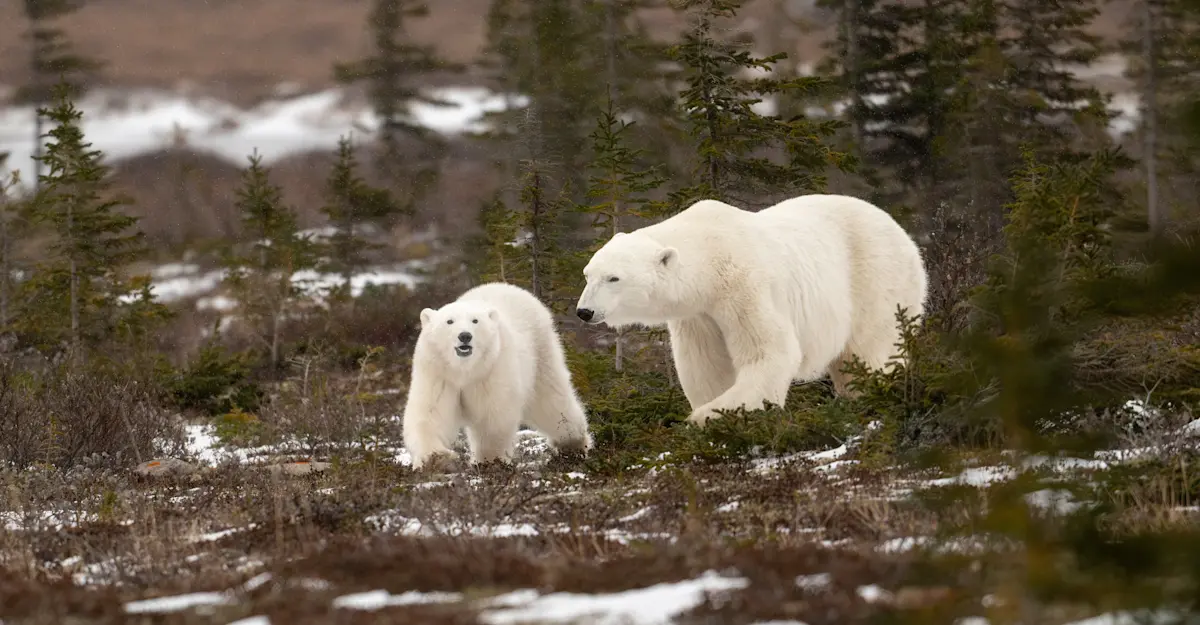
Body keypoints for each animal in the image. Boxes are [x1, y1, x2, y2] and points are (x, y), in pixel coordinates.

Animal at [402, 281, 593, 470]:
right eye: (449, 321)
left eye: (475, 320)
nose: (465, 336)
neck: (464, 370)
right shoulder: (438, 373)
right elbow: (430, 412)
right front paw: (436, 458)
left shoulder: (493, 368)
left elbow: (492, 416)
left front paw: (489, 461)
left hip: (540, 353)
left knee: (551, 401)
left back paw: (572, 444)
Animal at [574, 193, 928, 426]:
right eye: (588, 274)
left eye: (613, 277)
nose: (584, 311)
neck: (710, 253)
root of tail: (900, 230)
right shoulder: (699, 314)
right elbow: (706, 366)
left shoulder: (743, 285)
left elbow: (769, 352)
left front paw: (707, 415)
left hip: (876, 277)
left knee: (870, 347)